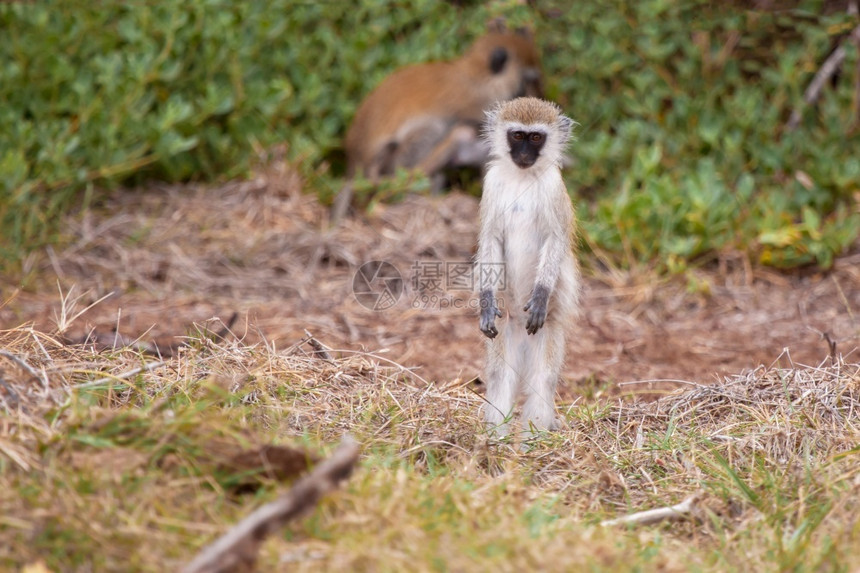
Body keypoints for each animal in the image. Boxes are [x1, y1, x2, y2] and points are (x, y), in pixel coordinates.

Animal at [478, 97, 576, 438]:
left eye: (535, 138)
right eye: (517, 135)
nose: (523, 155)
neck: (522, 177)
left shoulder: (554, 187)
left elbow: (555, 240)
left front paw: (541, 295)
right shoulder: (492, 183)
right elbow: (490, 238)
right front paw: (485, 301)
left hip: (547, 333)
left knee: (541, 380)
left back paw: (535, 436)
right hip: (504, 333)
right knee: (500, 377)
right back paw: (496, 436)